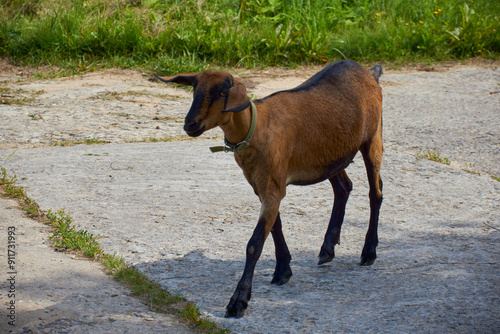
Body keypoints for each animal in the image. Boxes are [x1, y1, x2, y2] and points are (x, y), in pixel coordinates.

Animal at [154, 60, 384, 318]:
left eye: (222, 92)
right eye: (195, 90)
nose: (190, 124)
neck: (255, 129)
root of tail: (369, 72)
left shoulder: (273, 188)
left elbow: (255, 243)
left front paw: (238, 301)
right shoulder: (263, 186)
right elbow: (275, 227)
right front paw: (283, 270)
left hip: (373, 137)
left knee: (375, 193)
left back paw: (368, 252)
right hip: (331, 155)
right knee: (344, 187)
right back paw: (327, 248)